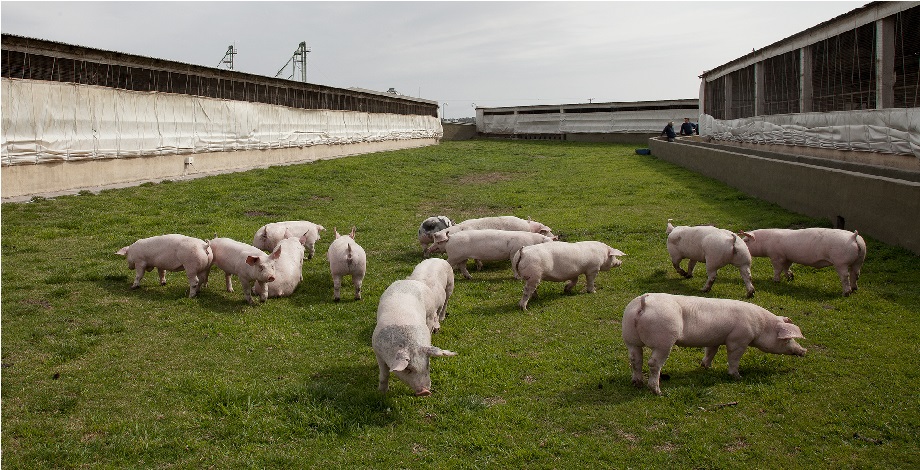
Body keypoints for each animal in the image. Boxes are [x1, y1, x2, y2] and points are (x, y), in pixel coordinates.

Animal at [620, 296, 808, 394]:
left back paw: (637, 383)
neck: (761, 326)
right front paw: (738, 377)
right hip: (664, 339)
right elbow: (733, 358)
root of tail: (644, 304)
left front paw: (706, 367)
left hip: (629, 336)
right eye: (787, 339)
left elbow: (711, 351)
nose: (804, 351)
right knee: (653, 363)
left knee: (635, 359)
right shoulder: (738, 339)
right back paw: (657, 391)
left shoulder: (715, 339)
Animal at [736, 229, 868, 298]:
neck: (766, 242)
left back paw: (846, 293)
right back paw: (854, 289)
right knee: (856, 274)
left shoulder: (776, 256)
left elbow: (777, 269)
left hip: (841, 262)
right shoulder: (787, 257)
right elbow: (786, 267)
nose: (742, 244)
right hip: (860, 259)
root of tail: (854, 237)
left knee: (845, 276)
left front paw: (775, 281)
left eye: (746, 240)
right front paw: (790, 277)